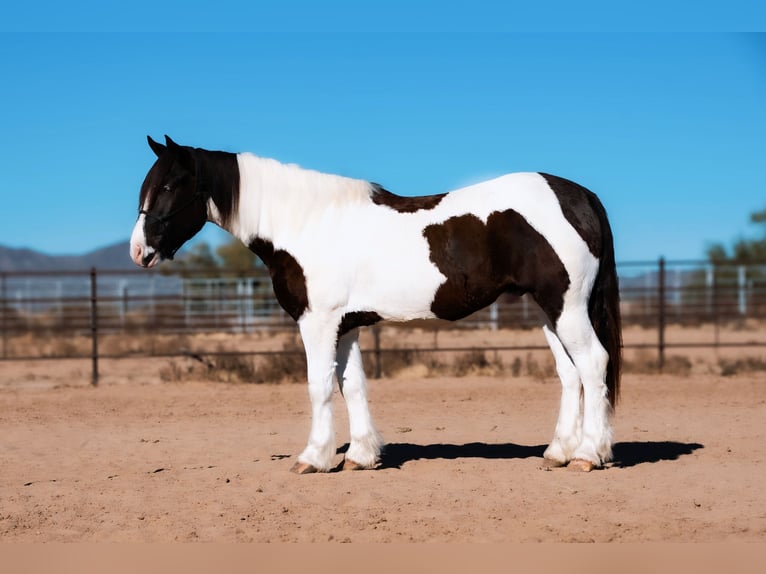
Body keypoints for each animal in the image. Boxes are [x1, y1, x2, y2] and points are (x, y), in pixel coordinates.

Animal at [130, 136, 624, 476]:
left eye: (170, 186)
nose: (139, 251)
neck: (307, 224)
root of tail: (581, 196)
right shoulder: (346, 325)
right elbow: (353, 386)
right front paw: (362, 456)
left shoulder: (317, 323)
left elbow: (318, 386)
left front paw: (313, 458)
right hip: (549, 311)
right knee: (570, 374)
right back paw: (558, 452)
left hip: (566, 307)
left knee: (594, 364)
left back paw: (588, 455)